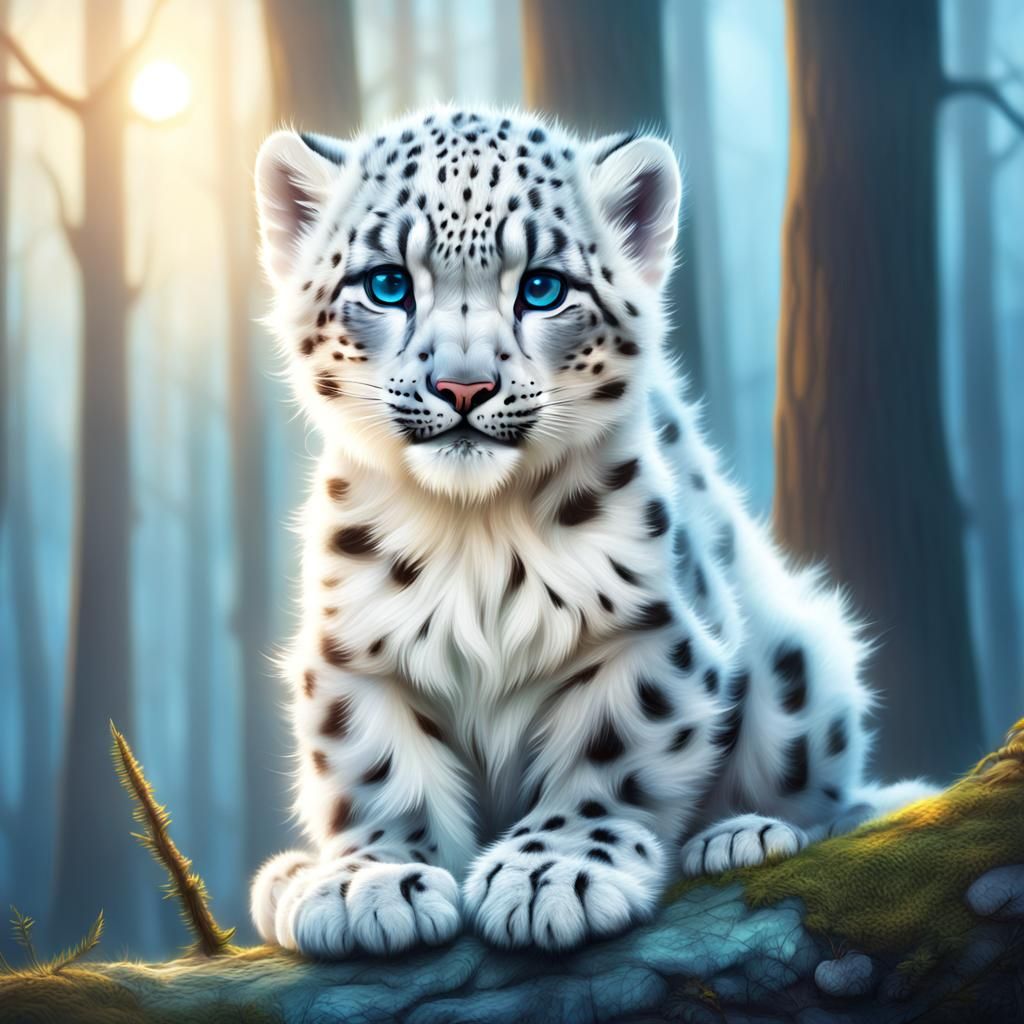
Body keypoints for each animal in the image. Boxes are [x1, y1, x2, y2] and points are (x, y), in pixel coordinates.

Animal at [248, 104, 934, 958]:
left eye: (543, 287)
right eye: (387, 283)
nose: (464, 386)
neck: (473, 531)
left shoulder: (650, 630)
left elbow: (612, 749)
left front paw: (552, 873)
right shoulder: (354, 651)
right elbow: (373, 767)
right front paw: (369, 882)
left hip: (803, 663)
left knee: (831, 798)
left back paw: (744, 836)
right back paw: (286, 878)